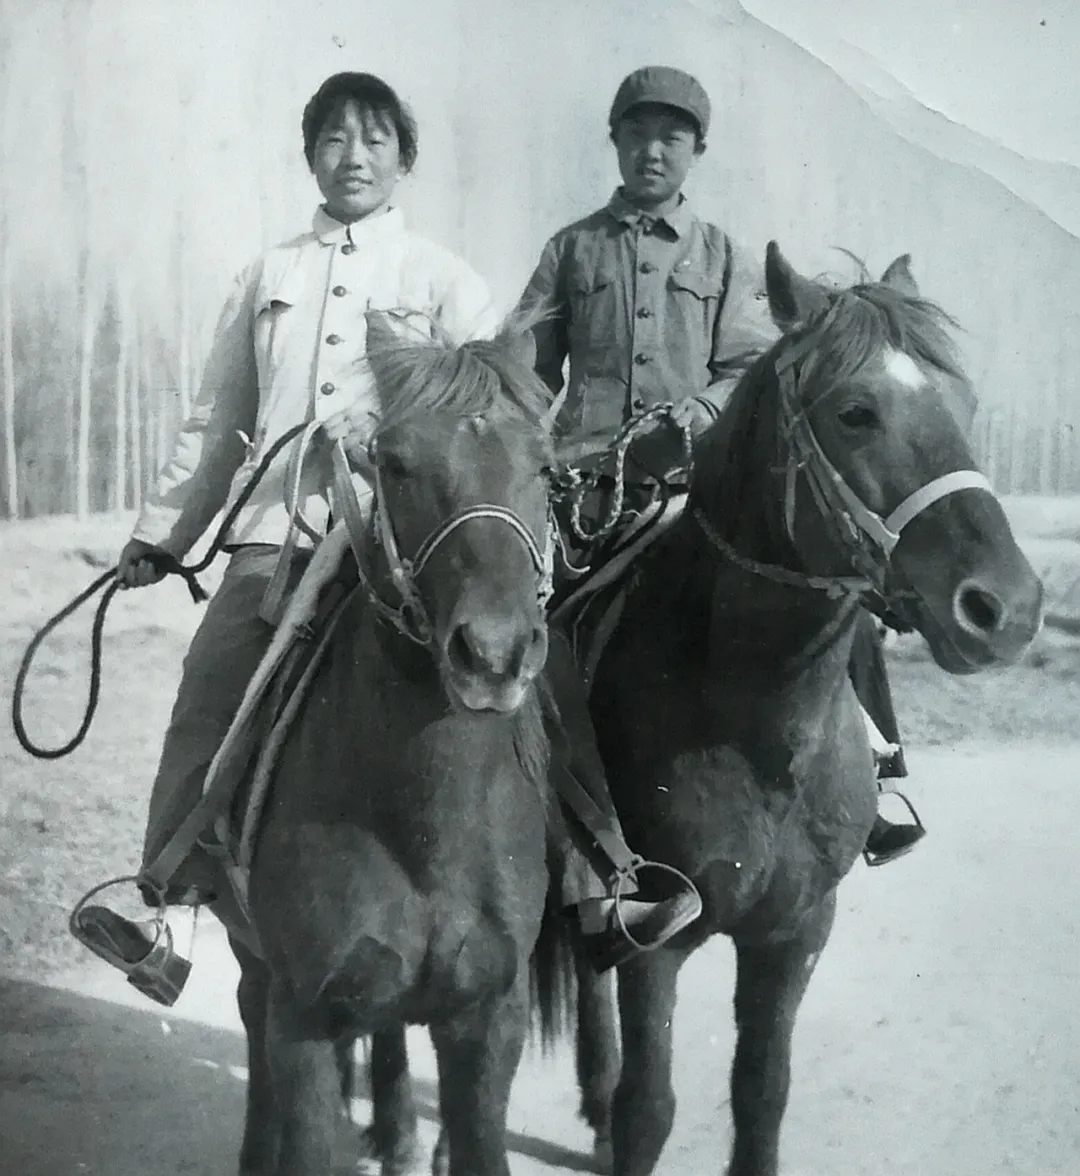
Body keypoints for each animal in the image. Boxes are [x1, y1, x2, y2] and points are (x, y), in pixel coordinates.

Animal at [215, 326, 574, 1176]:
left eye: (546, 467)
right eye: (397, 462)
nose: (494, 655)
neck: (425, 828)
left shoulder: (489, 1021)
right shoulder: (304, 1020)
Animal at [567, 241, 1049, 1176]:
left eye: (966, 404)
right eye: (856, 413)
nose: (1005, 609)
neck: (759, 732)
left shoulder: (794, 934)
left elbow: (762, 1094)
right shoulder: (659, 940)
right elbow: (651, 1109)